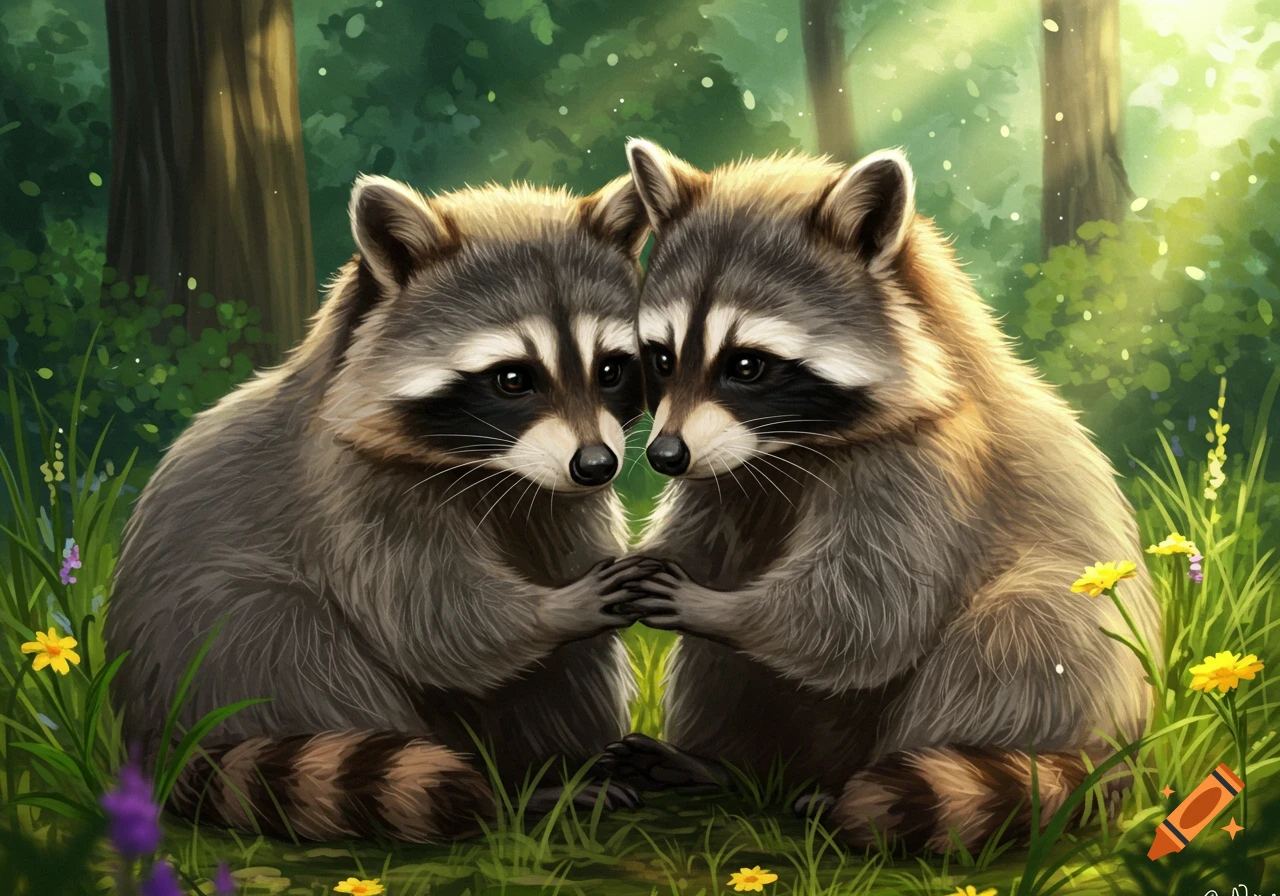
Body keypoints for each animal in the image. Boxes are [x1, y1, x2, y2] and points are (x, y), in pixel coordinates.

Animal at [103, 173, 656, 842]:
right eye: (513, 379)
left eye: (611, 369)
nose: (597, 466)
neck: (495, 471)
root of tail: (148, 734)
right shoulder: (344, 492)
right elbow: (430, 619)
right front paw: (555, 609)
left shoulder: (558, 500)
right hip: (219, 651)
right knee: (304, 651)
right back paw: (514, 794)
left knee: (577, 666)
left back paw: (551, 772)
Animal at [601, 140, 1160, 852]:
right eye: (663, 358)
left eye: (747, 365)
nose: (664, 457)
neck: (791, 447)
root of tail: (1119, 751)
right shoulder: (730, 474)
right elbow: (706, 543)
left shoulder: (936, 468)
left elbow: (870, 616)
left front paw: (716, 607)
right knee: (724, 670)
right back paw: (723, 764)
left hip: (1069, 661)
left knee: (1012, 634)